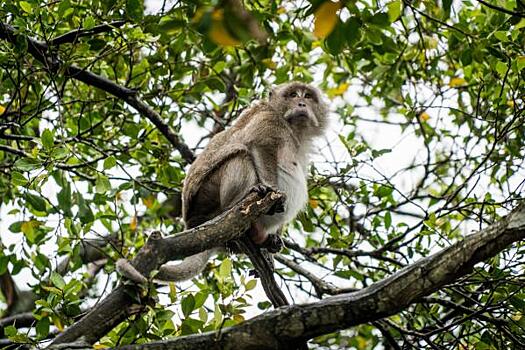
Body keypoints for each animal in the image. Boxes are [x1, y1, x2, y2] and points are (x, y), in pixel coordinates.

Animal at [117, 82, 328, 284]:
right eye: (293, 95)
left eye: (308, 96)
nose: (301, 103)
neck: (293, 128)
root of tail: (193, 222)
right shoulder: (268, 120)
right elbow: (258, 145)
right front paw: (270, 189)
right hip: (206, 198)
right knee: (241, 155)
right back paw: (237, 212)